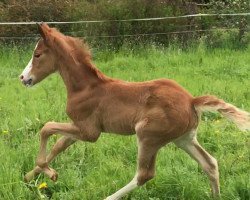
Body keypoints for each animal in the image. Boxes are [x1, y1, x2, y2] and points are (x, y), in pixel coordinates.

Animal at [19, 22, 248, 199]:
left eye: (37, 54)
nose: (23, 78)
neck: (85, 87)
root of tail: (192, 101)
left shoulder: (89, 132)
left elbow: (47, 128)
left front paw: (48, 173)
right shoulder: (78, 127)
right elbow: (58, 146)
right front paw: (30, 177)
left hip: (148, 135)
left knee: (144, 175)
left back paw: (108, 197)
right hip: (183, 138)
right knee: (210, 164)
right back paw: (216, 195)